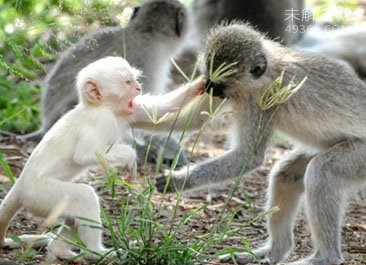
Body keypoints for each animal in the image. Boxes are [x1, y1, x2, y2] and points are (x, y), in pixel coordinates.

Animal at [0, 56, 206, 260]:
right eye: (127, 82)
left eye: (134, 80)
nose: (138, 88)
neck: (102, 106)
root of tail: (21, 183)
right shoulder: (100, 119)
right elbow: (84, 155)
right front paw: (130, 157)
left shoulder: (127, 112)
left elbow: (159, 111)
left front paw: (201, 84)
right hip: (39, 195)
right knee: (83, 197)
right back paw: (96, 252)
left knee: (73, 214)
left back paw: (59, 250)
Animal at [159, 23, 366, 264]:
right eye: (209, 76)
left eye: (219, 83)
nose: (208, 87)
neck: (267, 73)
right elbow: (187, 120)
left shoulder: (261, 101)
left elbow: (247, 157)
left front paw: (178, 181)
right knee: (285, 175)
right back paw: (274, 251)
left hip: (361, 156)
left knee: (322, 172)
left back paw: (325, 257)